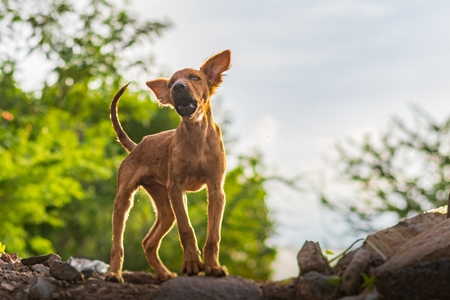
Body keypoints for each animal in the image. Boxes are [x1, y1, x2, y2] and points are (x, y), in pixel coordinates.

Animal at [106, 50, 232, 282]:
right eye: (172, 82)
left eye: (195, 78)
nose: (177, 87)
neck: (196, 136)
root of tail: (137, 146)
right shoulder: (176, 187)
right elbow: (186, 229)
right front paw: (192, 264)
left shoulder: (216, 190)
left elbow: (213, 236)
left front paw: (213, 267)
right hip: (124, 200)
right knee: (117, 244)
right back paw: (114, 273)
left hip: (166, 208)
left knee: (148, 242)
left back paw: (163, 274)